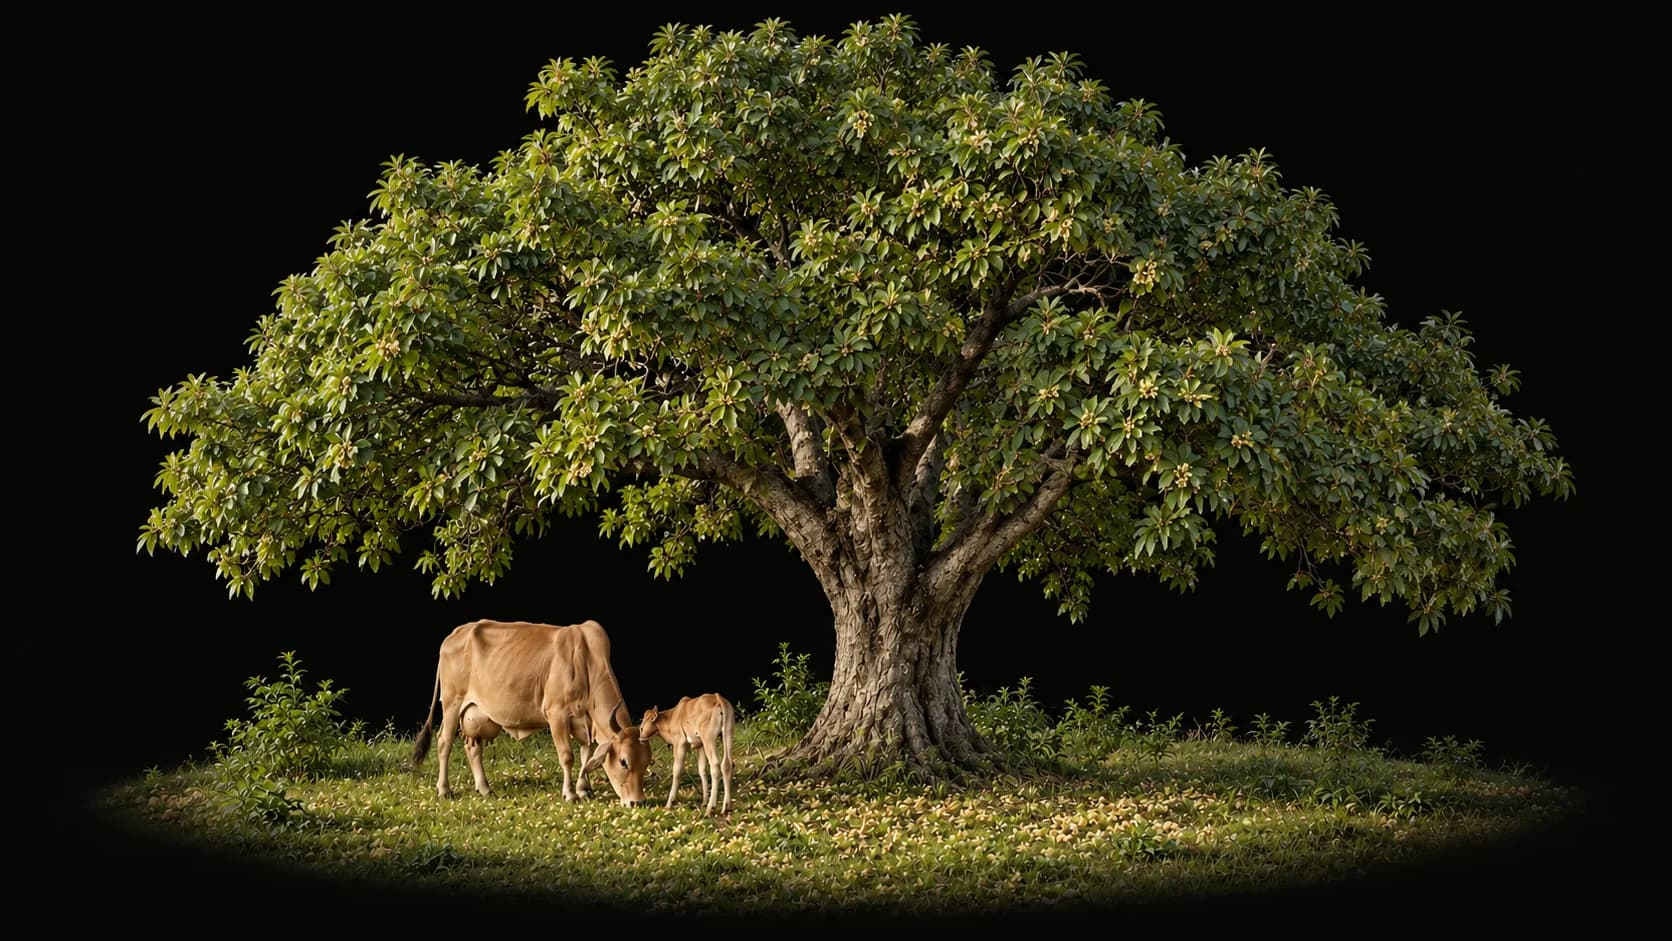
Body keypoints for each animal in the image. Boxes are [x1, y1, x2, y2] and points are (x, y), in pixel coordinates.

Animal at [408, 618, 652, 805]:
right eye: (623, 761)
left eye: (647, 761)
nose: (637, 802)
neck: (586, 660)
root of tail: (455, 634)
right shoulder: (556, 714)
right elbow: (568, 756)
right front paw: (570, 794)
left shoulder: (585, 723)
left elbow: (586, 755)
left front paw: (584, 789)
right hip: (452, 703)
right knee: (444, 742)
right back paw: (444, 789)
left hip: (475, 714)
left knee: (473, 748)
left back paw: (485, 788)